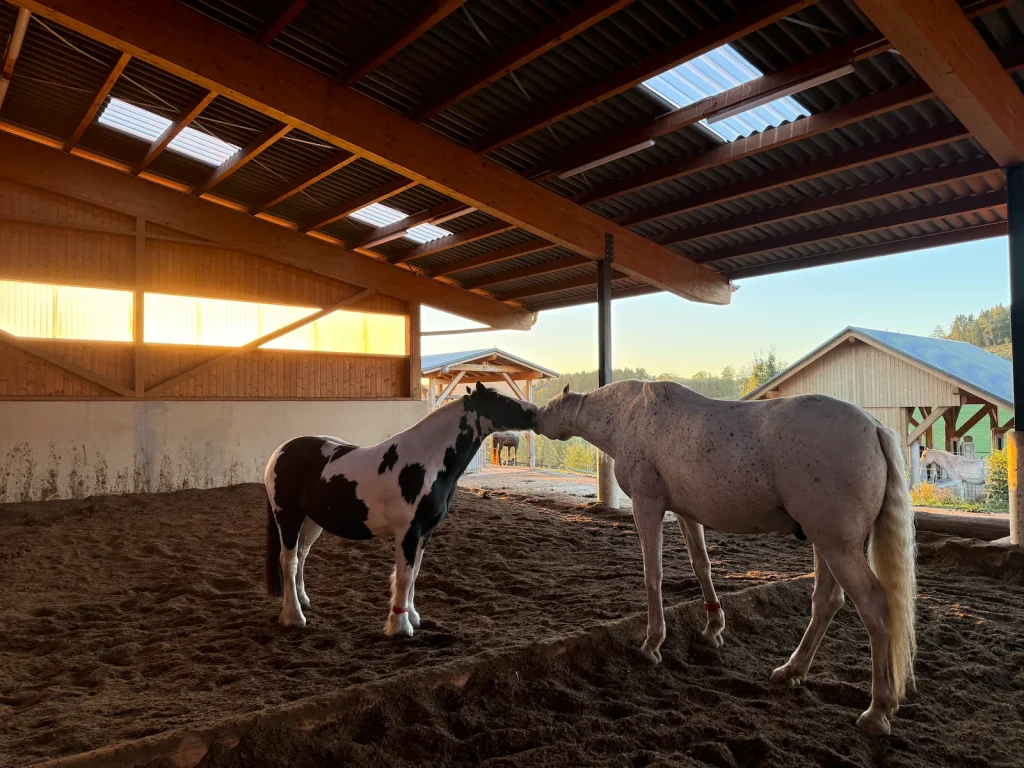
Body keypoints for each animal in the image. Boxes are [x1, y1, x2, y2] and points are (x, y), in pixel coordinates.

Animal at [264, 381, 537, 637]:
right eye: (500, 400)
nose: (535, 412)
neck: (426, 461)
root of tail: (279, 452)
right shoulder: (408, 531)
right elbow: (404, 576)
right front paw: (400, 626)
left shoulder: (425, 533)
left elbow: (414, 573)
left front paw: (413, 616)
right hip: (287, 517)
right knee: (288, 561)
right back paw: (294, 616)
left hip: (311, 521)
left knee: (302, 556)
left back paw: (302, 601)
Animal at [536, 380, 916, 736]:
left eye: (552, 407)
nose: (536, 418)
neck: (631, 415)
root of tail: (874, 427)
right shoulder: (686, 513)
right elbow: (701, 565)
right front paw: (712, 628)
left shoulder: (648, 506)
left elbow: (652, 574)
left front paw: (652, 643)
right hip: (827, 544)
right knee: (826, 601)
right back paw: (791, 671)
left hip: (837, 547)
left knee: (874, 607)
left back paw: (877, 711)